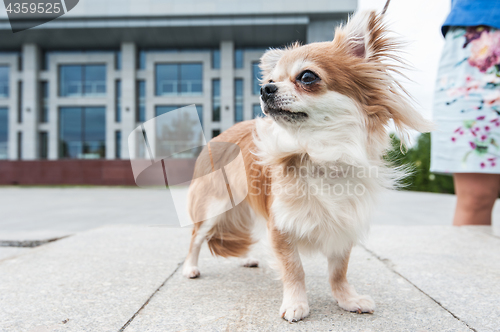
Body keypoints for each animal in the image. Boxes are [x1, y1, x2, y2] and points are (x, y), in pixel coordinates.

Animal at [182, 9, 432, 322]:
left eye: (307, 76)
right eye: (271, 79)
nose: (264, 88)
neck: (321, 153)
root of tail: (218, 137)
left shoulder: (343, 224)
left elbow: (339, 270)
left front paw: (346, 298)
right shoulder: (281, 224)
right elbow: (294, 268)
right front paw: (296, 303)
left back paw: (248, 258)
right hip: (214, 207)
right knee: (196, 237)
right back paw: (190, 268)